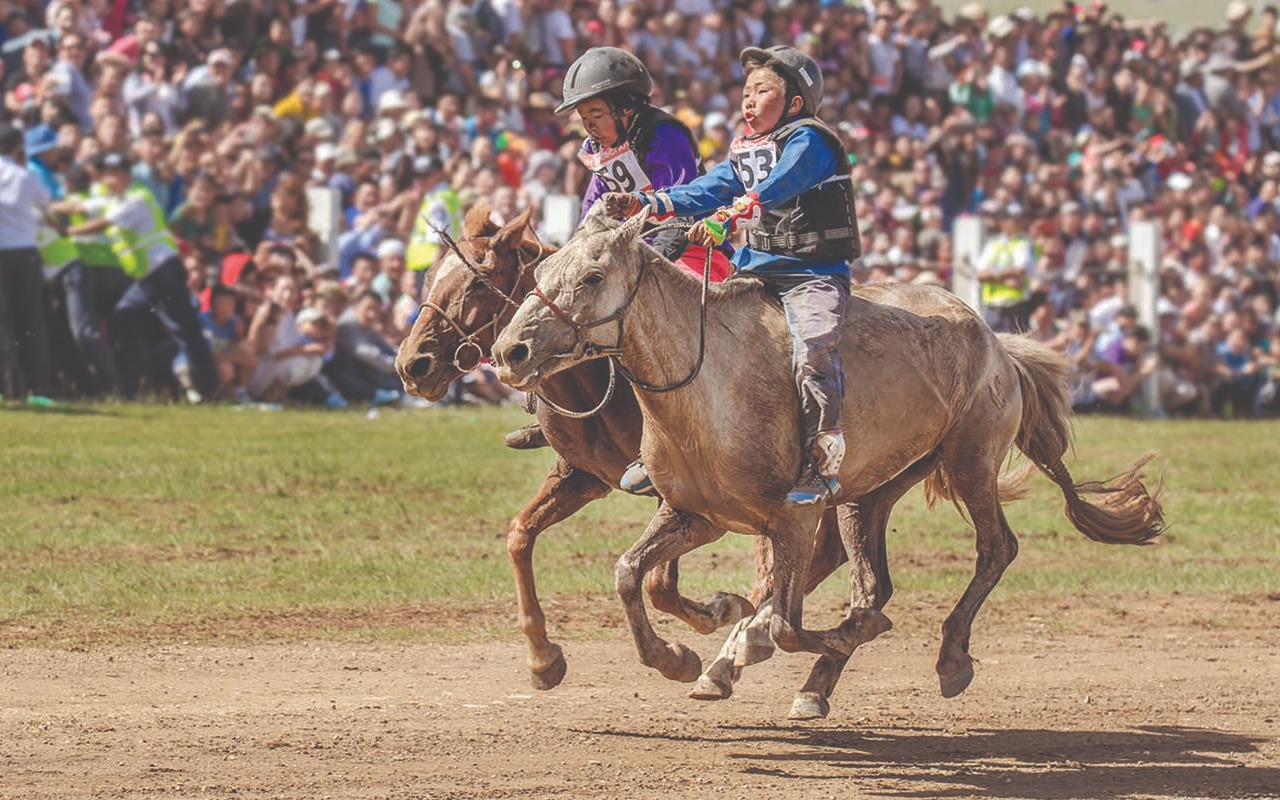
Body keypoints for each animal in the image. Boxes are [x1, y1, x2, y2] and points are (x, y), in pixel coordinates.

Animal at [491, 204, 1172, 706]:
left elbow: (786, 624)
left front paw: (744, 641)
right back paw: (798, 682)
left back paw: (948, 658)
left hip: (969, 461)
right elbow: (633, 575)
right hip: (868, 493)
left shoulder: (790, 517)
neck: (707, 381)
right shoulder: (696, 514)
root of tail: (994, 340)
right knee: (871, 584)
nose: (508, 352)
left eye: (591, 276)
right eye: (542, 273)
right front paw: (679, 658)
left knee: (993, 550)